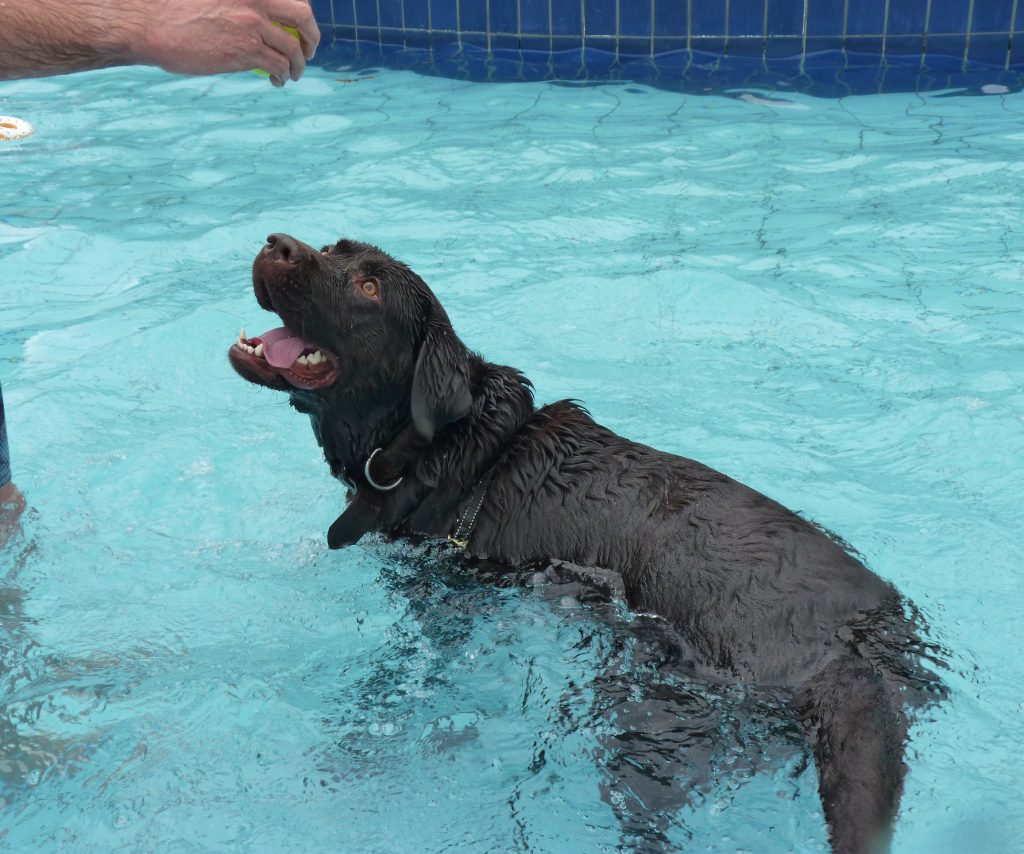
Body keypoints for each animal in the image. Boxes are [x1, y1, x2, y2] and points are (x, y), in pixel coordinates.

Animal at [228, 233, 937, 851]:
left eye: (369, 287)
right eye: (335, 247)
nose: (277, 243)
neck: (443, 451)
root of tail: (861, 649)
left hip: (653, 725)